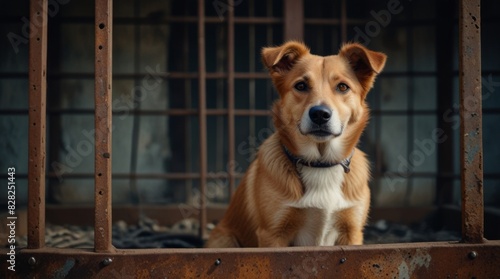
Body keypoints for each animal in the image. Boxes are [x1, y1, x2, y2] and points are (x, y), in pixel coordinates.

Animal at [205, 41, 384, 247]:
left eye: (342, 87)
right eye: (301, 85)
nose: (320, 114)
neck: (320, 164)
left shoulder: (351, 232)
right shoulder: (273, 234)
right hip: (224, 239)